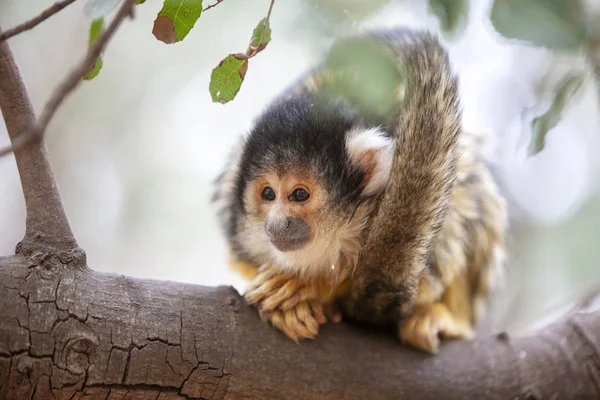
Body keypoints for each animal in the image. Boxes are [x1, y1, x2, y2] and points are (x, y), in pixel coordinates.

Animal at [211, 28, 506, 354]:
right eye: (267, 194)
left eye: (299, 195)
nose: (277, 223)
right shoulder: (241, 231)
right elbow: (244, 261)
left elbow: (426, 278)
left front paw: (309, 287)